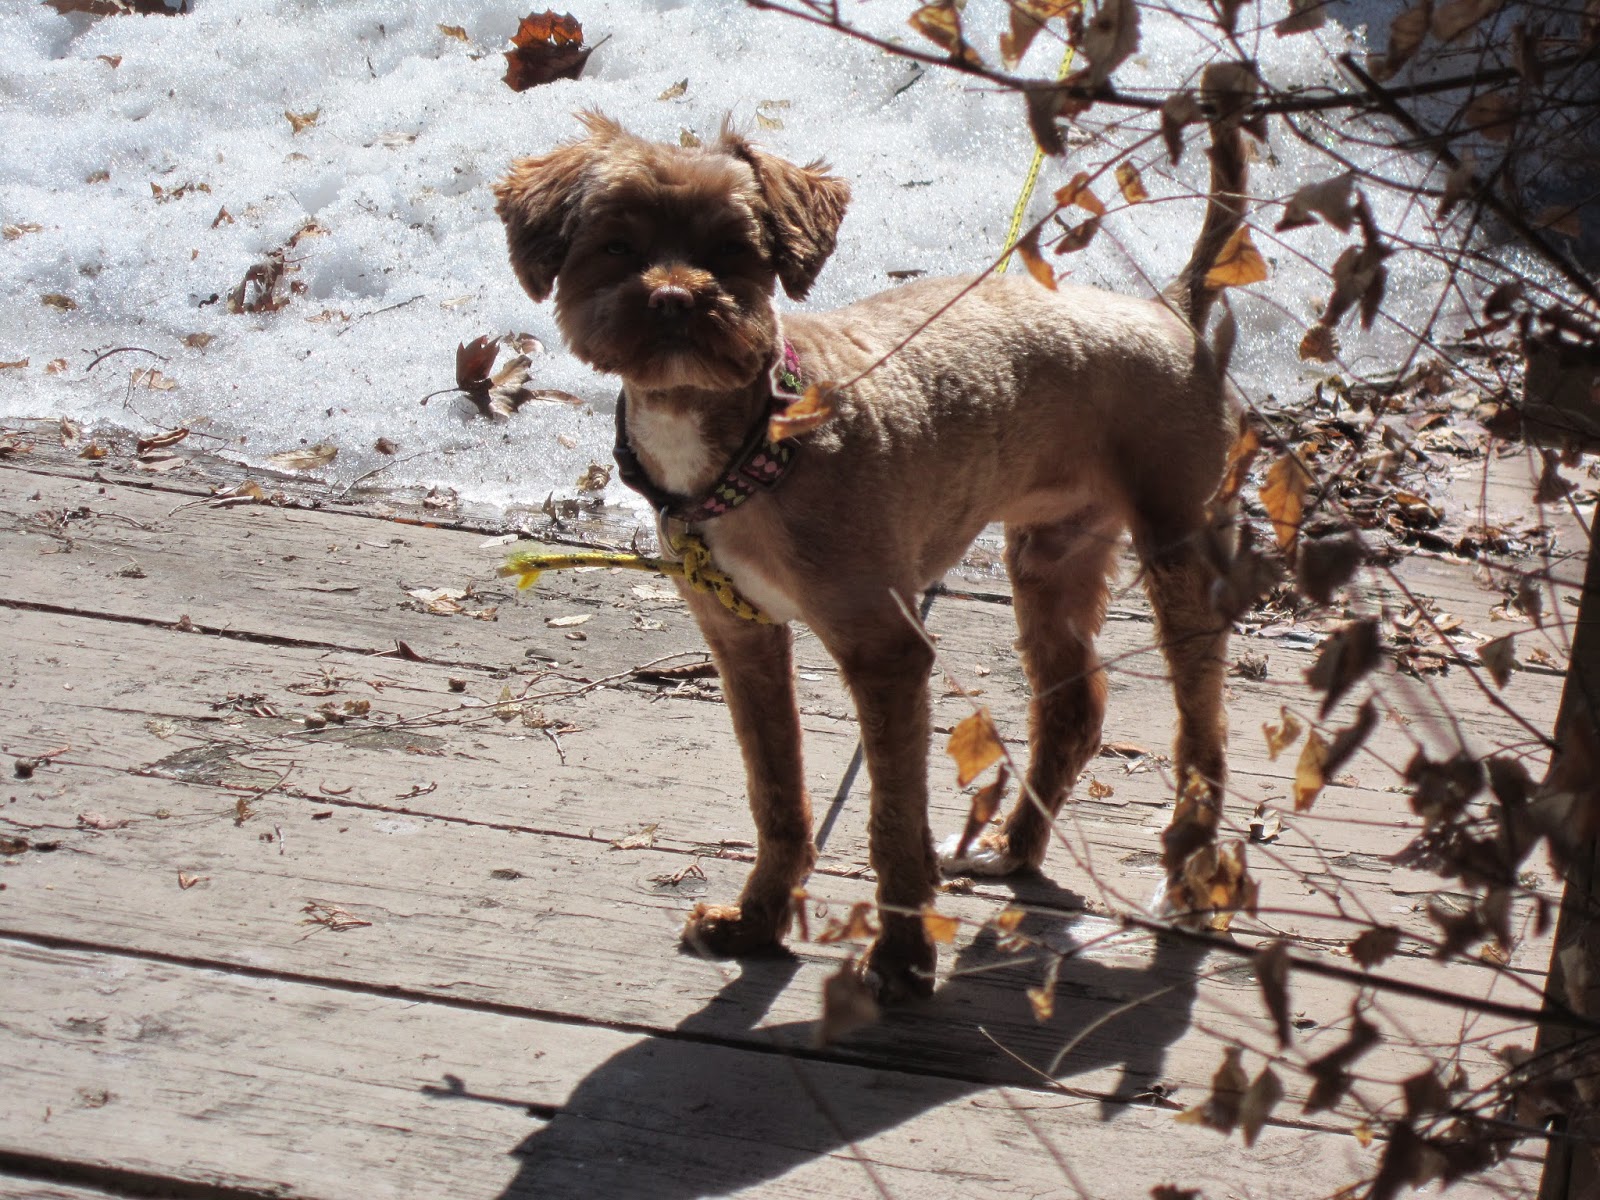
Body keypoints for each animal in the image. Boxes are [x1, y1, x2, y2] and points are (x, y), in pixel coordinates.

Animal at [494, 80, 1249, 1001]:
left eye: (735, 252)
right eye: (615, 247)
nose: (675, 297)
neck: (755, 443)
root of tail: (1167, 305)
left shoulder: (884, 650)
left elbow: (892, 821)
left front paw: (899, 958)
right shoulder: (742, 638)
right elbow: (777, 797)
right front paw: (756, 922)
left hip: (1180, 549)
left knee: (1202, 733)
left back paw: (1189, 881)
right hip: (1049, 553)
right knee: (1073, 709)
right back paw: (1014, 851)